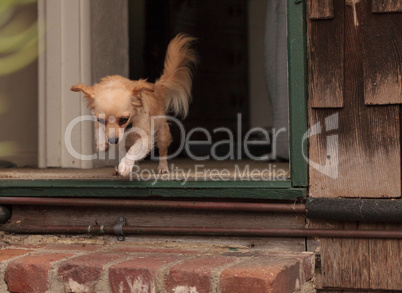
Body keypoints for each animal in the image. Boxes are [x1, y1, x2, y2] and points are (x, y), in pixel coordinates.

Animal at [72, 34, 198, 176]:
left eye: (124, 119)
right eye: (101, 120)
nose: (112, 140)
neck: (129, 127)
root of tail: (157, 88)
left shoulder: (145, 139)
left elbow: (134, 150)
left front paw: (126, 165)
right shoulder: (106, 128)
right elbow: (99, 130)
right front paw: (101, 143)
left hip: (162, 134)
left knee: (163, 151)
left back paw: (162, 167)